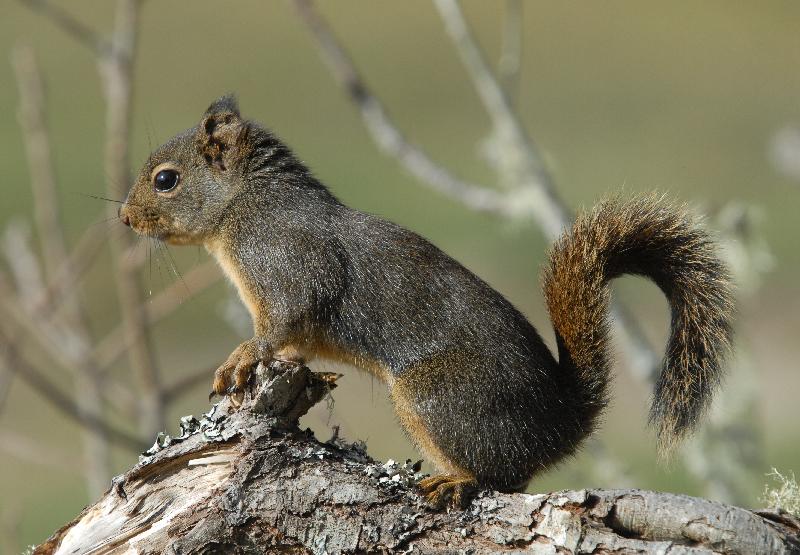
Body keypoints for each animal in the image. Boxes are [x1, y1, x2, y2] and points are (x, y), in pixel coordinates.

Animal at [120, 96, 734, 506]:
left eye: (166, 179)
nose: (124, 218)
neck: (246, 206)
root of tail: (561, 420)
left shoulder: (289, 264)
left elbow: (285, 320)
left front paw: (242, 357)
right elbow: (294, 346)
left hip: (435, 397)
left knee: (502, 475)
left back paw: (456, 479)